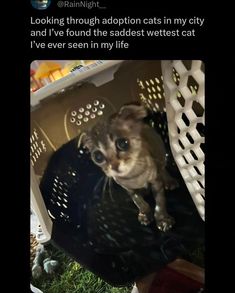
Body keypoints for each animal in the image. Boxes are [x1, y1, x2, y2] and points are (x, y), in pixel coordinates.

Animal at [82, 102, 178, 230]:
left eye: (123, 143)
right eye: (98, 157)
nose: (114, 166)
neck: (134, 176)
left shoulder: (156, 181)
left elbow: (160, 201)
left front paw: (162, 219)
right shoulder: (129, 189)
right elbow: (138, 201)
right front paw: (144, 213)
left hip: (160, 151)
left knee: (163, 169)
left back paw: (169, 181)